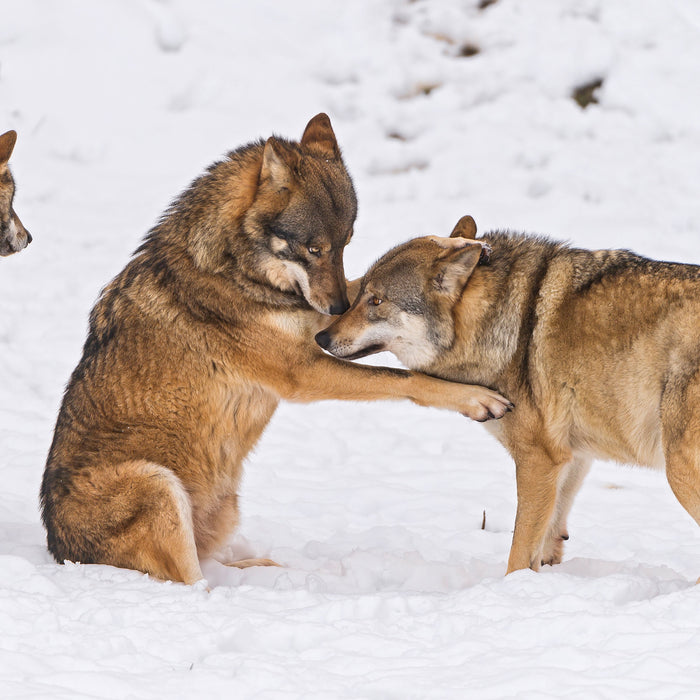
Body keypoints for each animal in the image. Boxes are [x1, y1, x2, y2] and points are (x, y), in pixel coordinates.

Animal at [41, 120, 512, 584]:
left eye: (345, 243)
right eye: (313, 249)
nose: (337, 309)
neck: (233, 268)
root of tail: (61, 551)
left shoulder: (314, 319)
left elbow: (364, 284)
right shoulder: (302, 371)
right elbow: (404, 378)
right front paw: (476, 399)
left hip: (224, 506)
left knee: (206, 566)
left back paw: (257, 569)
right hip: (157, 484)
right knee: (192, 583)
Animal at [318, 216, 700, 576]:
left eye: (376, 301)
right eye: (359, 295)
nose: (321, 338)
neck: (506, 324)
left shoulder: (537, 460)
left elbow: (518, 555)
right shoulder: (571, 458)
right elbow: (547, 541)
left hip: (678, 470)